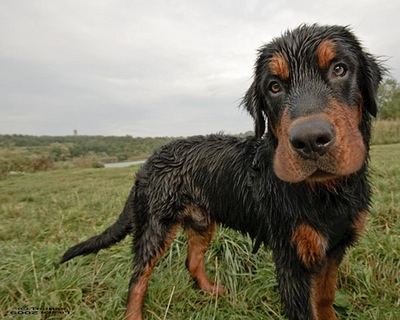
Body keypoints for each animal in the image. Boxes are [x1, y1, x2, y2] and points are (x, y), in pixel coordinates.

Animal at [61, 25, 382, 320]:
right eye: (274, 86)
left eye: (339, 69)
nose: (311, 140)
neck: (325, 192)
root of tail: (148, 161)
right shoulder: (291, 259)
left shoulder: (335, 249)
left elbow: (325, 299)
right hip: (155, 226)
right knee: (138, 279)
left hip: (201, 222)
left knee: (191, 262)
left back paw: (212, 291)